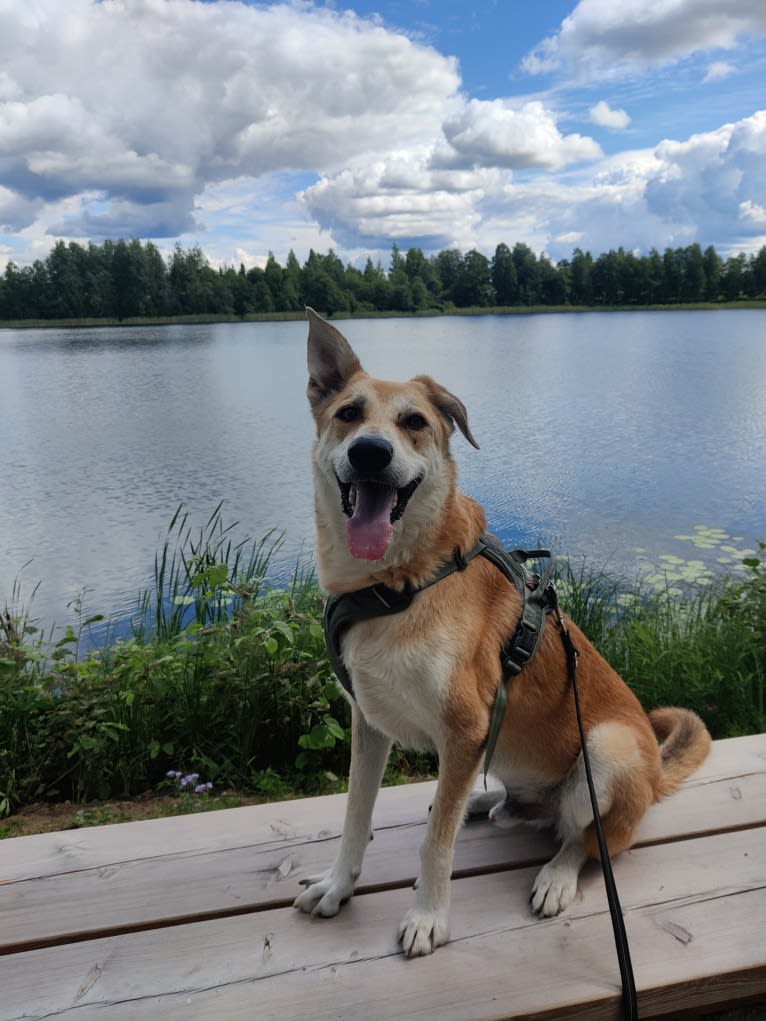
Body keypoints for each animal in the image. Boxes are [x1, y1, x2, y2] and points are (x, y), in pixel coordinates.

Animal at [296, 308, 714, 955]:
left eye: (413, 422)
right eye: (348, 414)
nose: (369, 453)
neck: (396, 583)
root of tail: (653, 779)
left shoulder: (467, 725)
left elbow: (435, 846)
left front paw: (428, 917)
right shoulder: (369, 723)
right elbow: (354, 818)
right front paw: (339, 885)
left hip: (608, 749)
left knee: (588, 841)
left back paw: (556, 875)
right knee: (519, 807)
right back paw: (486, 801)